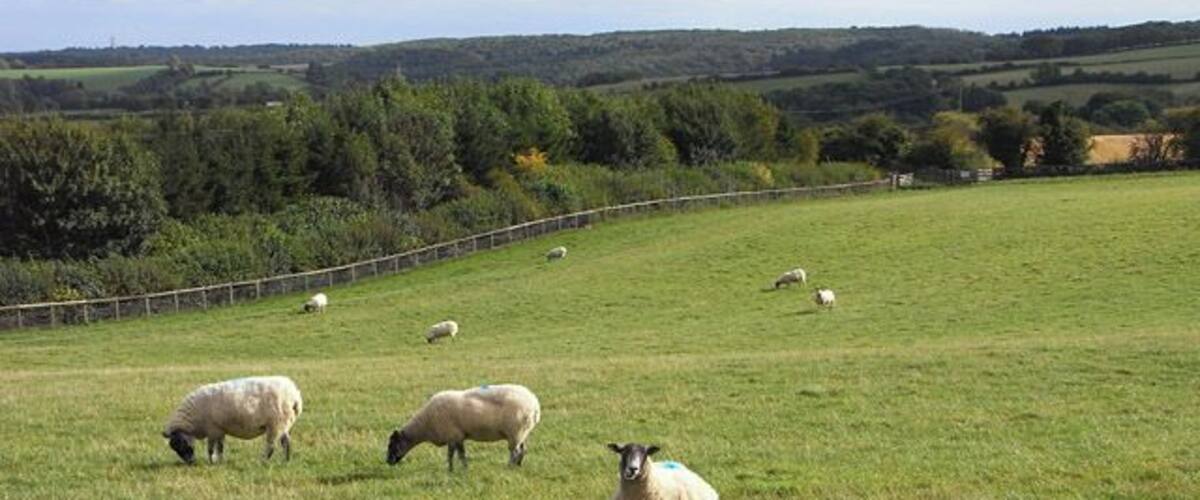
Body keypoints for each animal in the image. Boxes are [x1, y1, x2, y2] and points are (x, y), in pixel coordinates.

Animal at [162, 376, 303, 465]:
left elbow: (211, 449)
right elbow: (220, 447)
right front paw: (219, 461)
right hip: (285, 424)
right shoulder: (219, 430)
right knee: (286, 443)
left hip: (276, 424)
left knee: (271, 446)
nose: (190, 462)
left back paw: (263, 461)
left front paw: (212, 462)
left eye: (181, 443)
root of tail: (295, 395)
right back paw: (286, 461)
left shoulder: (213, 430)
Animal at [386, 383, 541, 472]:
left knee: (514, 452)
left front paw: (455, 470)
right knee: (522, 449)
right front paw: (457, 469)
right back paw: (518, 466)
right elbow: (457, 454)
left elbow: (455, 455)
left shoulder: (453, 435)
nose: (387, 462)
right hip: (522, 432)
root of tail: (534, 404)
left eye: (392, 444)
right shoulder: (456, 437)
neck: (425, 424)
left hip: (515, 432)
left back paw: (509, 468)